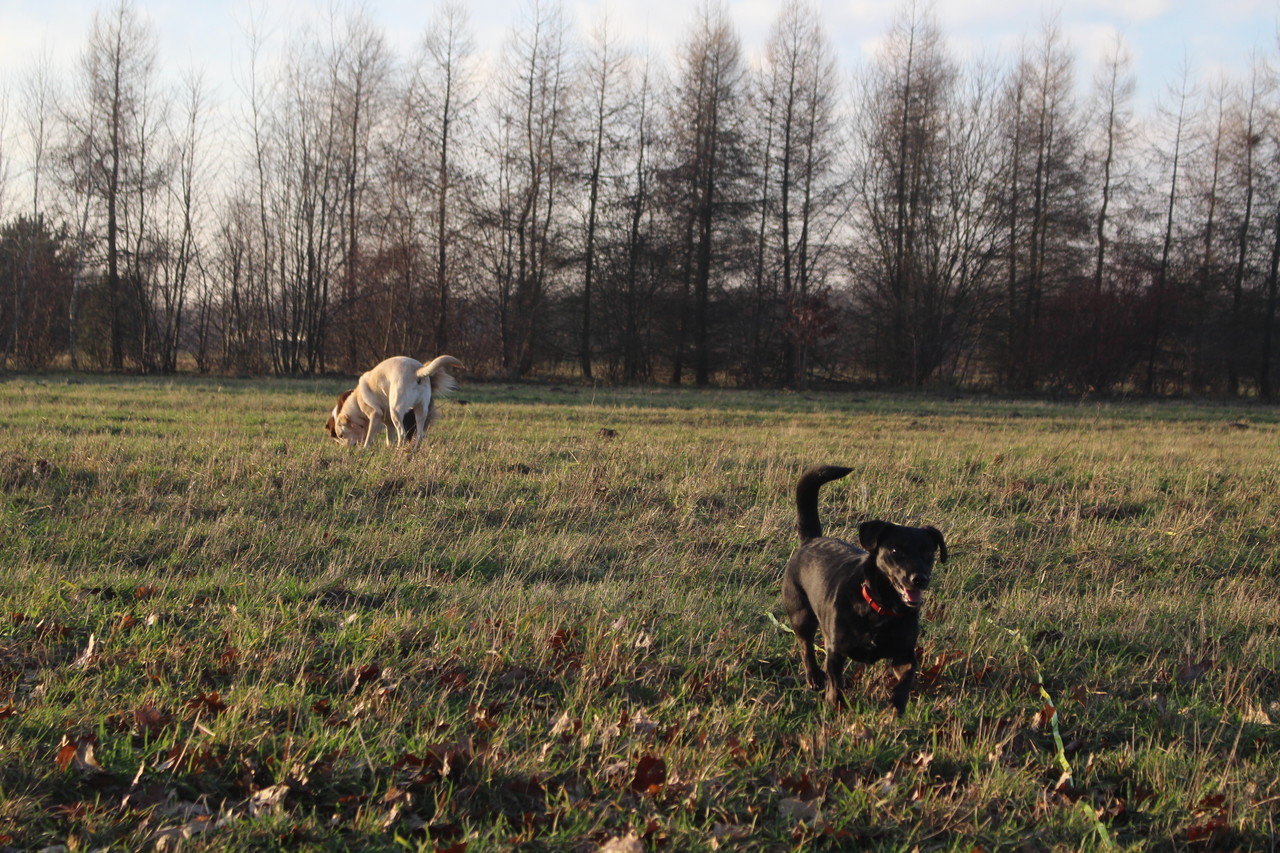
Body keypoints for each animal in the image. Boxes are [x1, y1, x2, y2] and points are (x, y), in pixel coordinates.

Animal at [325, 355, 463, 448]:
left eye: (341, 435)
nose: (348, 449)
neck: (357, 402)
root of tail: (417, 372)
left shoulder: (375, 415)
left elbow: (369, 436)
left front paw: (365, 449)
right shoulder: (389, 424)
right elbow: (388, 439)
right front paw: (388, 448)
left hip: (396, 411)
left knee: (402, 434)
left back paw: (399, 449)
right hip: (420, 411)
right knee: (419, 435)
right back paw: (413, 450)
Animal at [781, 465, 947, 715]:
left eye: (928, 552)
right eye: (895, 551)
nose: (919, 579)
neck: (881, 609)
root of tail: (812, 540)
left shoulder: (904, 654)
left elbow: (905, 680)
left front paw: (896, 708)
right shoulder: (836, 651)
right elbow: (835, 683)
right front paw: (834, 706)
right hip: (801, 615)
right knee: (805, 646)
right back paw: (814, 678)